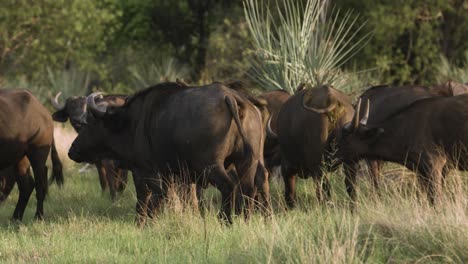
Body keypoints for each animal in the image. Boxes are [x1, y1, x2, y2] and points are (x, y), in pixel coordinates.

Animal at [0, 89, 63, 221]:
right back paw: (16, 218)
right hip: (20, 158)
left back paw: (38, 216)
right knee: (27, 185)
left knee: (40, 184)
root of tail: (45, 114)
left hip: (37, 154)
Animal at [67, 82, 268, 225]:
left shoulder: (145, 172)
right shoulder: (173, 175)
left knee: (229, 186)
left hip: (211, 166)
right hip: (247, 162)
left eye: (90, 123)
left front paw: (143, 223)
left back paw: (225, 221)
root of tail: (231, 97)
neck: (134, 122)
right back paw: (246, 220)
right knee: (249, 188)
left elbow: (147, 199)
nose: (72, 150)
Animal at [338, 94, 468, 205]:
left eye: (345, 136)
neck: (405, 129)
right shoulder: (424, 172)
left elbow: (436, 200)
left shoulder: (434, 165)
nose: (333, 155)